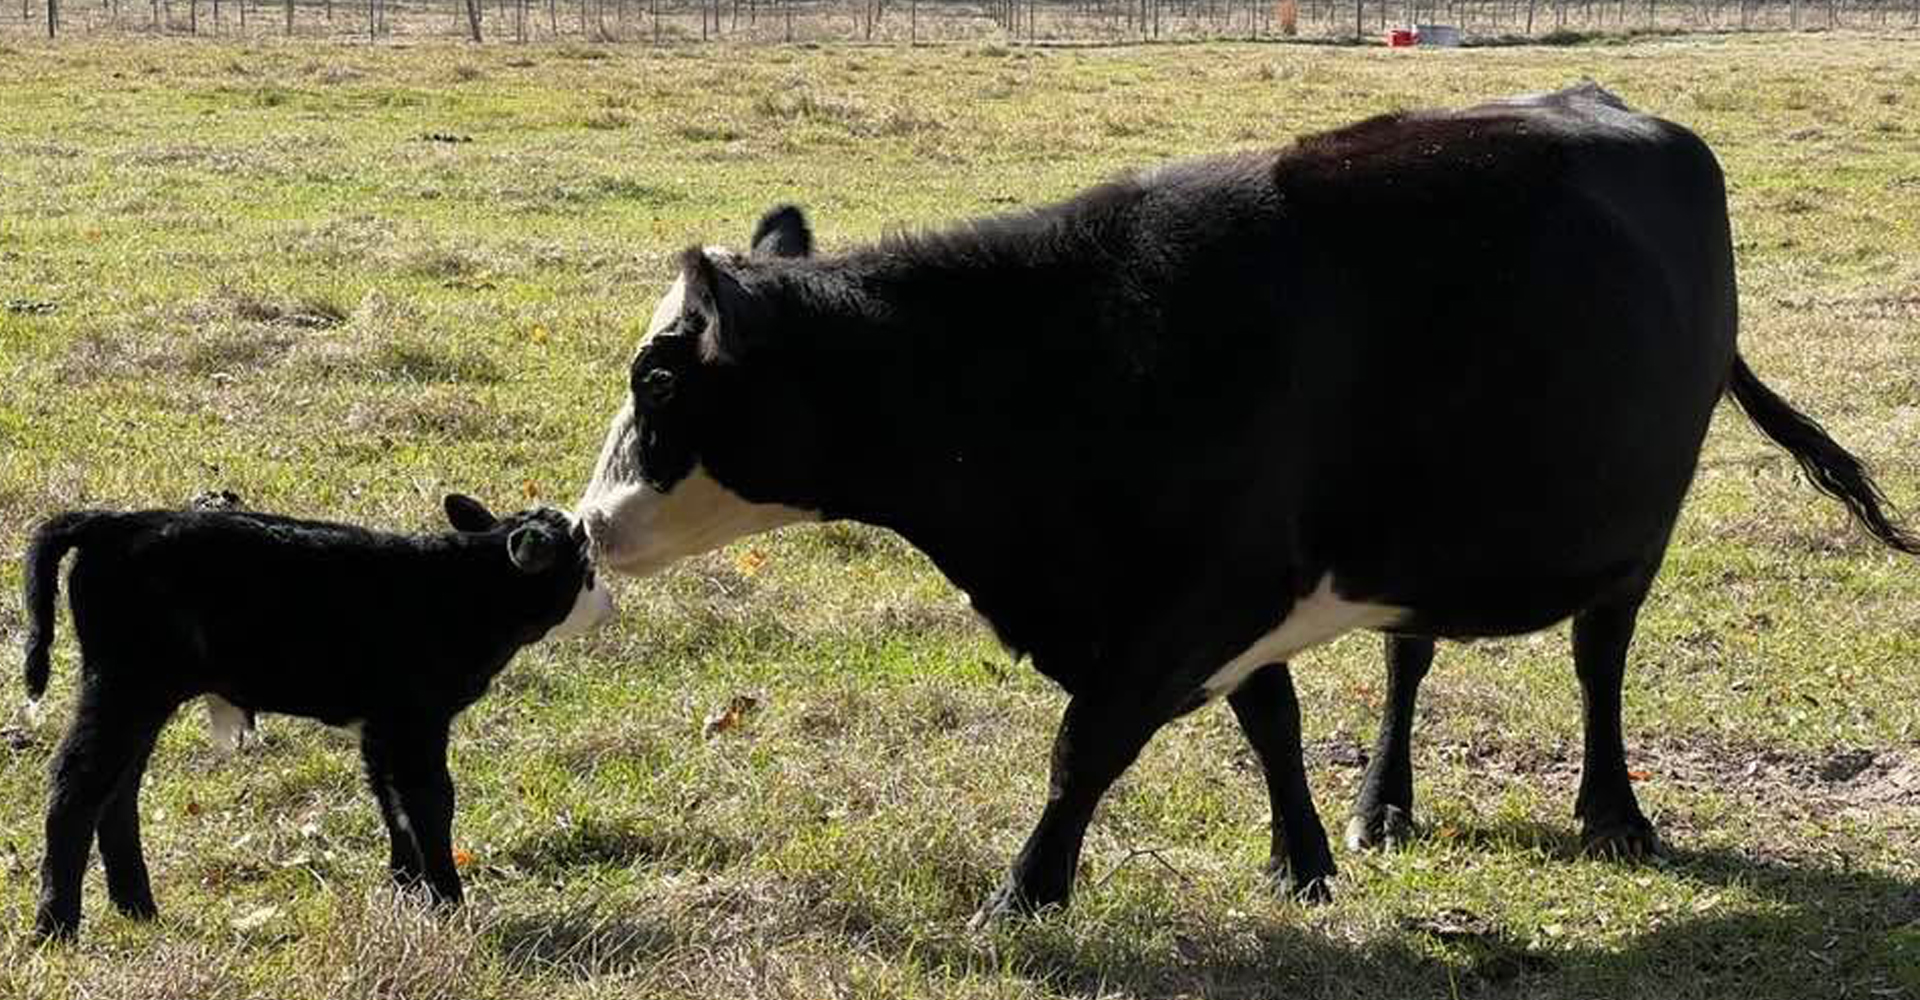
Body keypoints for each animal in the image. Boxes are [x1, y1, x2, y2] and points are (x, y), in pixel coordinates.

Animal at [574, 84, 1917, 922]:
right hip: (1421, 543)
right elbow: (1271, 719)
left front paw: (1023, 895)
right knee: (1411, 656)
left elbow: (1085, 747)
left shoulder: (1204, 589)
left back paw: (1614, 814)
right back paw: (1388, 806)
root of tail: (1625, 108)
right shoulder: (1216, 595)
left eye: (659, 381)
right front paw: (1307, 859)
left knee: (1600, 660)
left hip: (1638, 525)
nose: (587, 527)